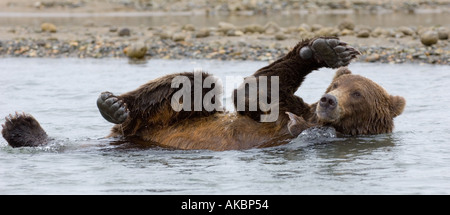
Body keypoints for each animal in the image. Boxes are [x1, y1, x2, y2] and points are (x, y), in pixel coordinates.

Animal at [0, 37, 404, 150]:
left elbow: (254, 94)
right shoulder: (293, 112)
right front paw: (324, 49)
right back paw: (113, 104)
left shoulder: (298, 131)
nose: (328, 100)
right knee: (193, 83)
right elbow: (257, 90)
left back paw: (21, 127)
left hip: (144, 132)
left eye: (358, 95)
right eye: (335, 86)